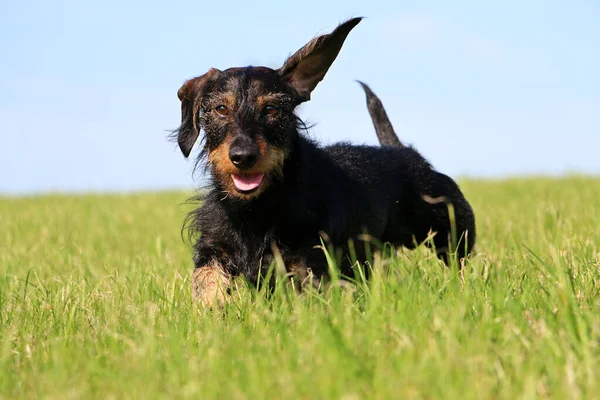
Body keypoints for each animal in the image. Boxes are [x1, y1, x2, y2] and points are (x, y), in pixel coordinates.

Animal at [171, 17, 476, 308]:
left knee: (459, 262)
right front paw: (211, 307)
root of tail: (405, 153)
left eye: (271, 109)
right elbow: (206, 276)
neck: (257, 209)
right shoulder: (214, 246)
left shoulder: (309, 260)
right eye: (221, 108)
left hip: (451, 227)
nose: (243, 156)